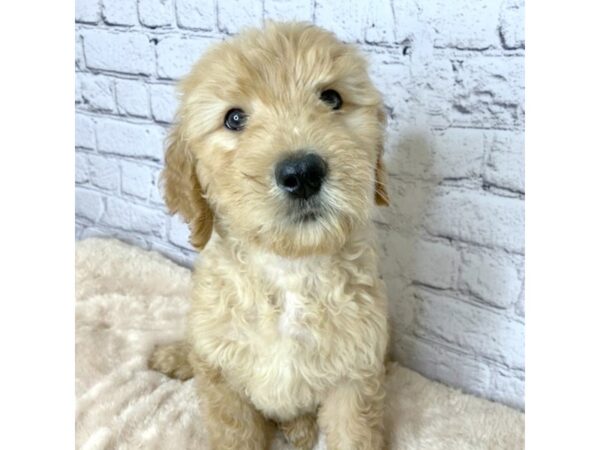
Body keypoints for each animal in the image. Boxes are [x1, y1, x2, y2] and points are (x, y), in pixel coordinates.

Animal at [149, 22, 392, 450]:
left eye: (331, 98)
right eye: (233, 118)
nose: (303, 173)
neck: (287, 271)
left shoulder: (357, 375)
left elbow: (353, 434)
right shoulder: (223, 380)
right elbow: (233, 433)